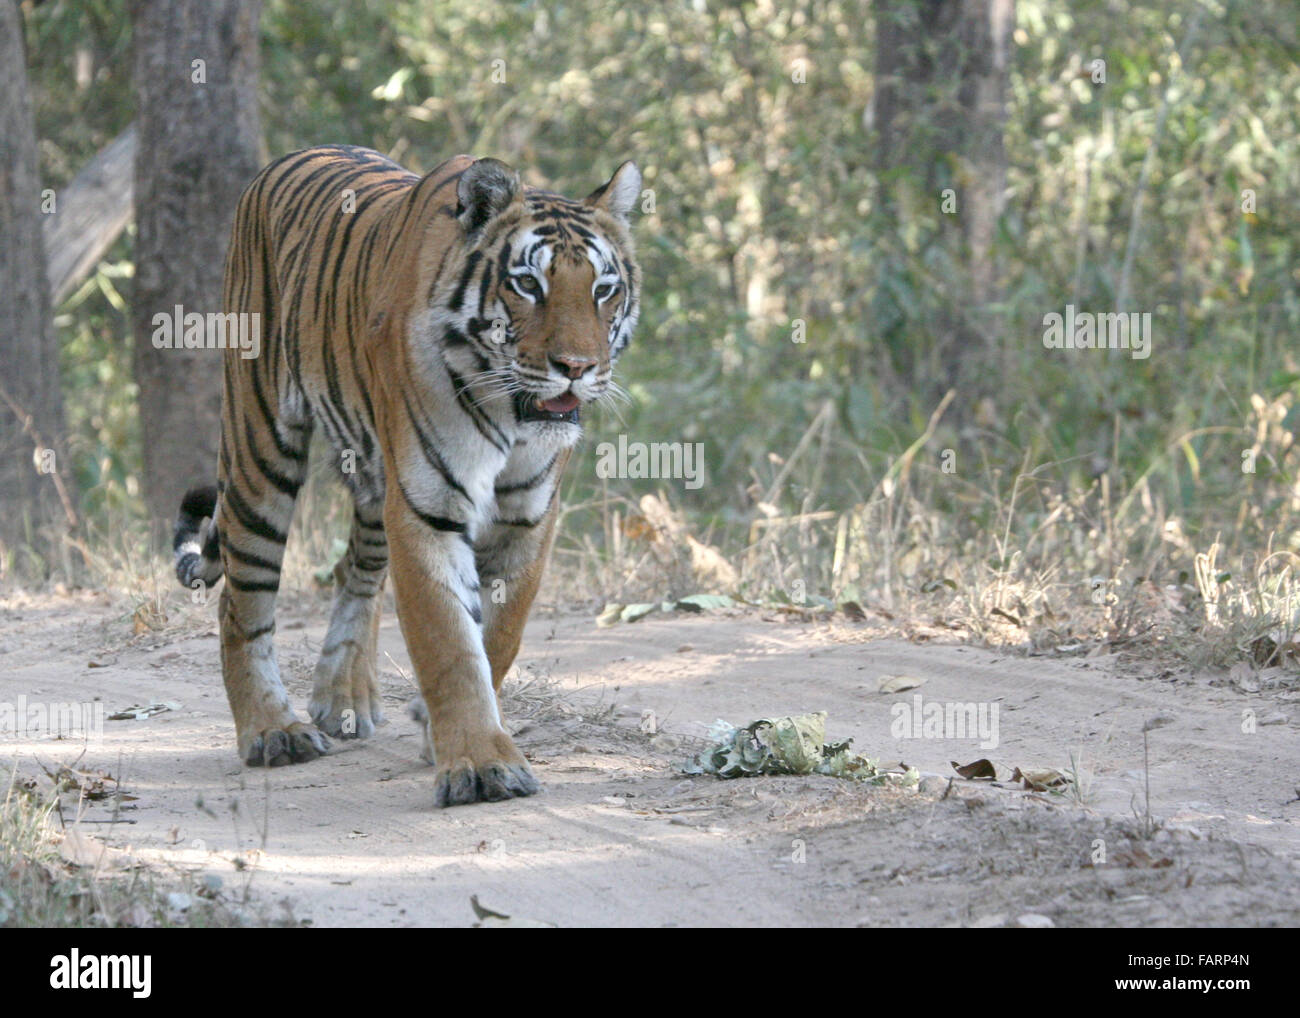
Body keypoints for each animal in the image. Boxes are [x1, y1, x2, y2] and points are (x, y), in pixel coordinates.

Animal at [172, 147, 639, 806]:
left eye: (603, 290)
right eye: (528, 283)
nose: (577, 367)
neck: (509, 412)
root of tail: (285, 160)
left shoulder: (525, 517)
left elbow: (498, 637)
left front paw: (440, 731)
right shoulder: (426, 508)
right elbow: (449, 644)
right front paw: (480, 766)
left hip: (372, 477)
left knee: (355, 572)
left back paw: (344, 698)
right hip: (259, 444)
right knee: (243, 601)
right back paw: (272, 730)